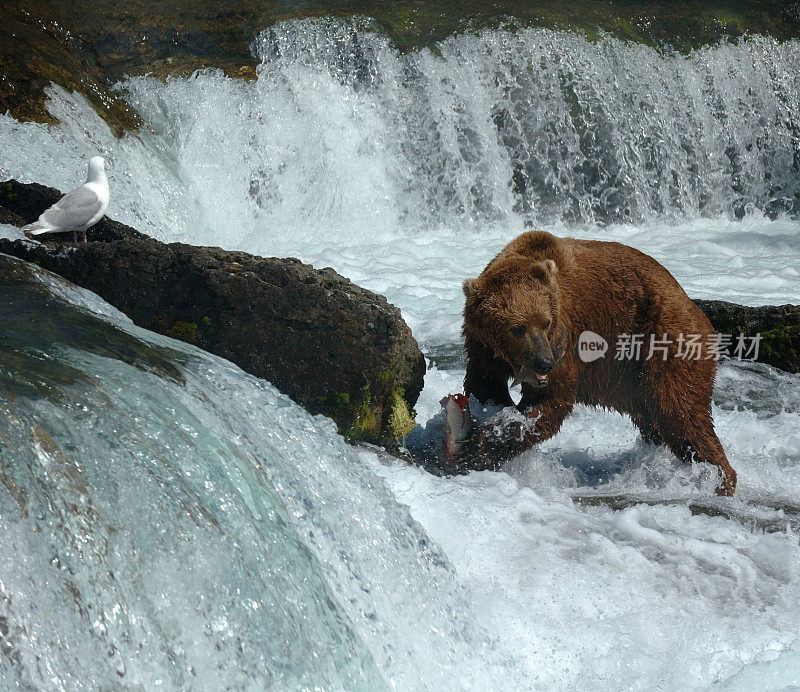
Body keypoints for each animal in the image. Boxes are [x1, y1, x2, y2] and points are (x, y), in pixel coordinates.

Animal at [456, 230, 736, 494]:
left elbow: (549, 401)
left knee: (682, 414)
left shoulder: (564, 336)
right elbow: (485, 385)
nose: (543, 363)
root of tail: (698, 312)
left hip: (665, 344)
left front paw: (477, 450)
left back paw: (719, 479)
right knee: (657, 421)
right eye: (517, 328)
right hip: (634, 377)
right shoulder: (482, 346)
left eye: (545, 322)